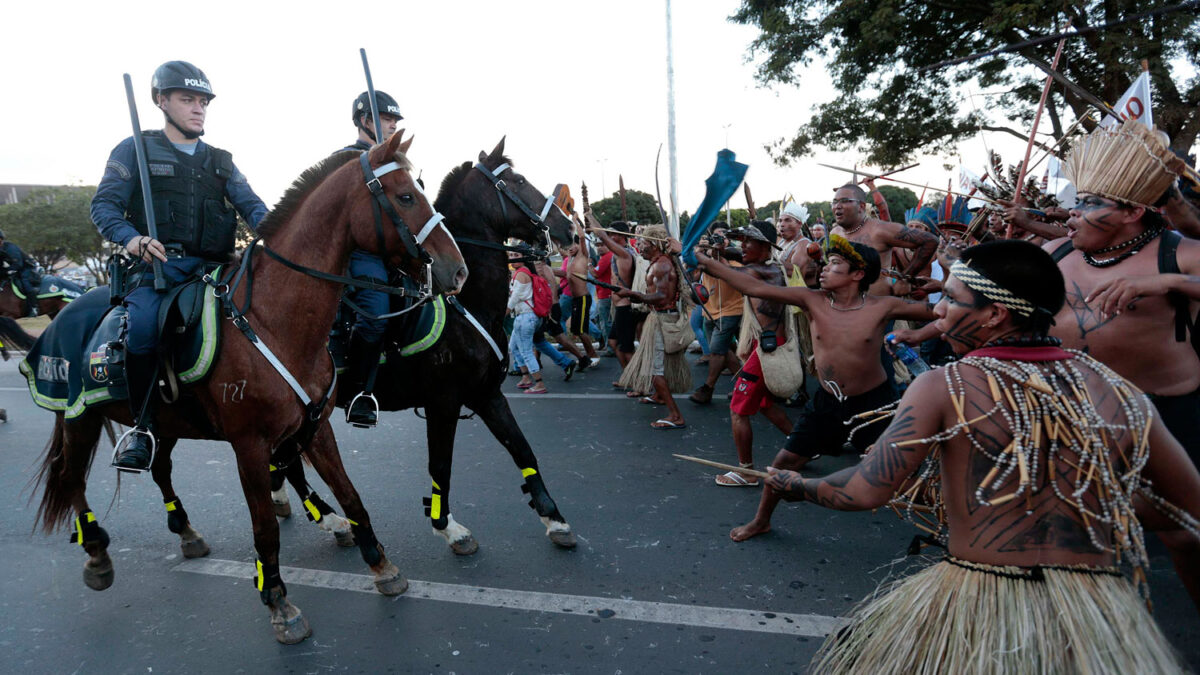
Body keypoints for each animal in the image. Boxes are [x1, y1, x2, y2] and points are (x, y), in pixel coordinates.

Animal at [28, 131, 468, 638]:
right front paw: (278, 601)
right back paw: (97, 553)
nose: (457, 270)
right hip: (77, 418)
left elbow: (351, 495)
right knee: (72, 478)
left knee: (160, 470)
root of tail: (63, 311)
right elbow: (265, 529)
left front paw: (381, 565)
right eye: (406, 196)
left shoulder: (316, 427)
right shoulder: (250, 445)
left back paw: (186, 533)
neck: (272, 320)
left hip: (162, 422)